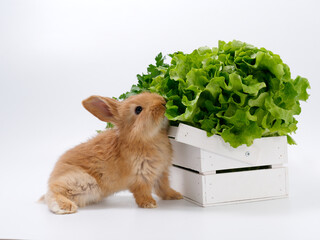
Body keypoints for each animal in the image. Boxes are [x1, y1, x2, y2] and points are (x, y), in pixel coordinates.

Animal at [43, 92, 182, 214]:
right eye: (138, 109)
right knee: (54, 192)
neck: (142, 138)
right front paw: (150, 204)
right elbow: (142, 192)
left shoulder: (161, 173)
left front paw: (176, 196)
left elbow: (163, 188)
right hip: (82, 182)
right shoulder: (140, 176)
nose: (163, 102)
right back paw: (66, 207)